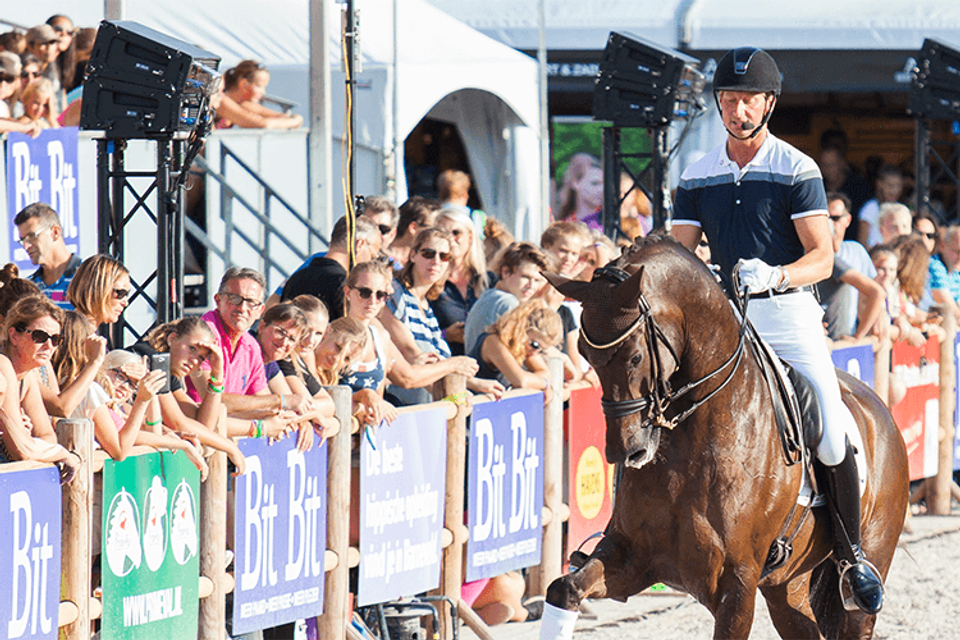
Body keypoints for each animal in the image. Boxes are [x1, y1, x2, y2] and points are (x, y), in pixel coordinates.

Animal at [542, 235, 909, 640]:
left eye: (636, 356)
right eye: (584, 354)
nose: (627, 450)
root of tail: (878, 406)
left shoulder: (736, 585)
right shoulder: (630, 555)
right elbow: (564, 589)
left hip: (863, 578)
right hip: (786, 586)